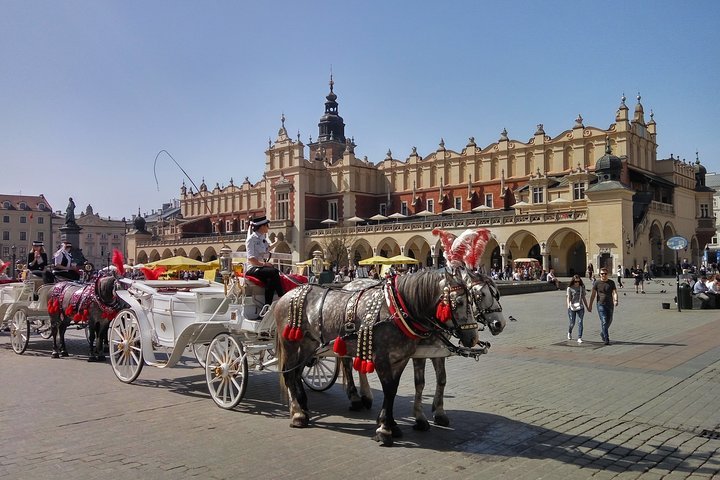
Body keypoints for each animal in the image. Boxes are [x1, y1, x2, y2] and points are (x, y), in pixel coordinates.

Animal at [276, 268, 478, 448]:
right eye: (459, 302)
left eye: (473, 299)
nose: (473, 338)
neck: (396, 310)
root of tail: (286, 296)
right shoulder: (381, 358)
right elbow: (388, 390)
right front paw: (385, 430)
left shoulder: (401, 358)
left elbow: (394, 389)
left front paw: (390, 424)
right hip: (290, 343)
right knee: (288, 374)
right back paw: (297, 414)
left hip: (309, 344)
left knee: (297, 373)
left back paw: (303, 407)